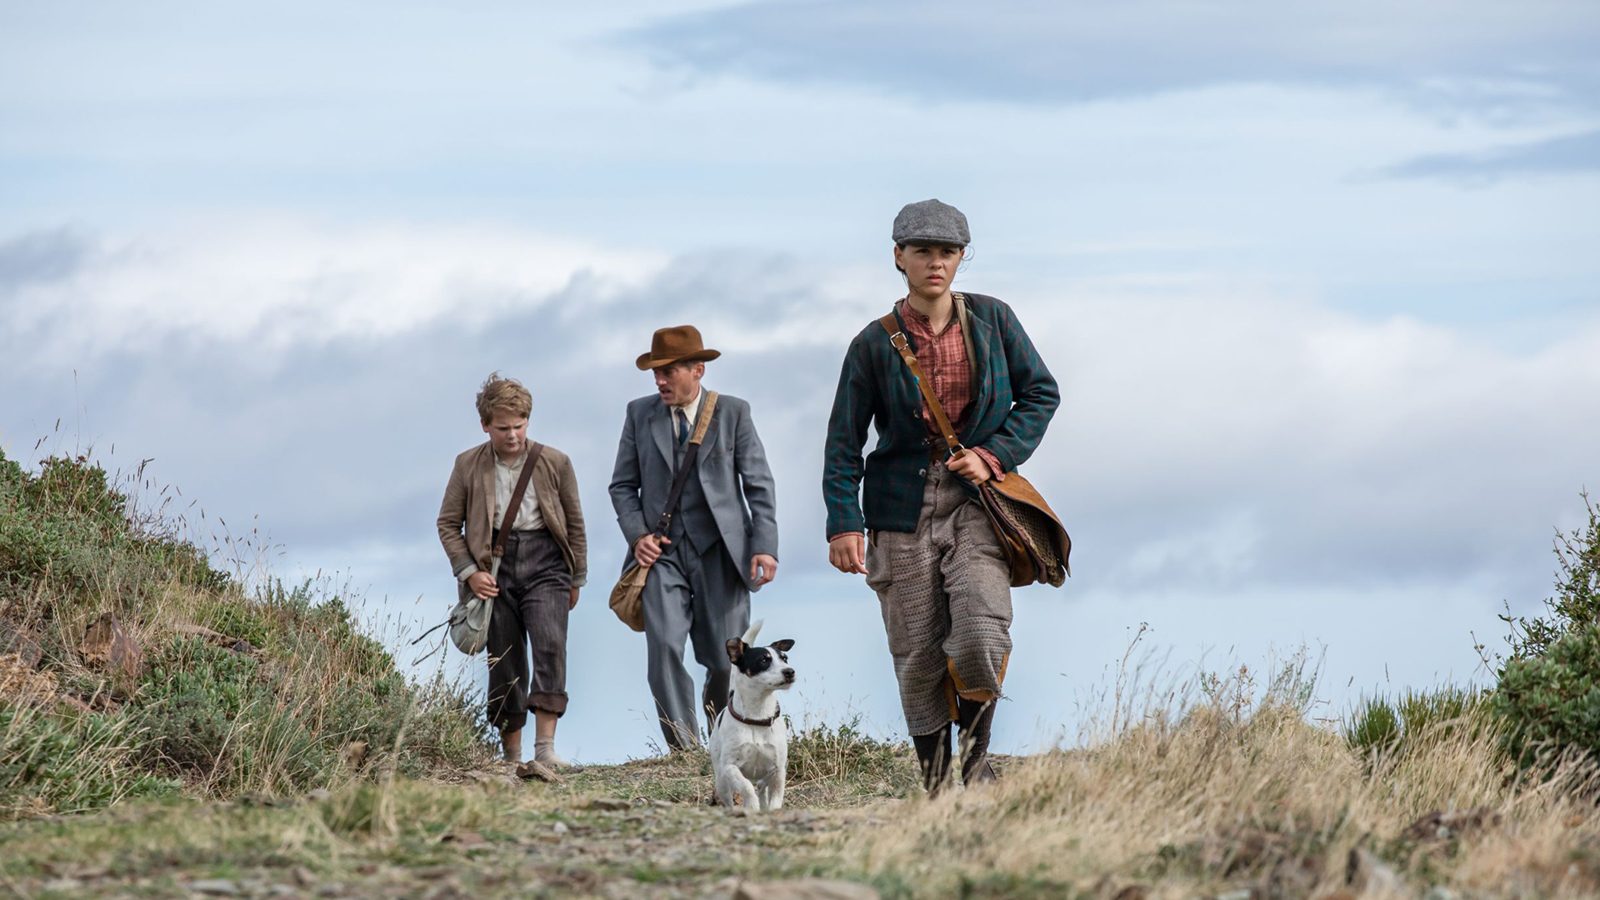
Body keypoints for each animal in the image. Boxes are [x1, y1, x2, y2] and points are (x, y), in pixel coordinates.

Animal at [710, 621, 796, 810]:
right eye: (763, 660)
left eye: (785, 659)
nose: (790, 671)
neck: (757, 716)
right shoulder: (730, 767)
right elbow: (746, 787)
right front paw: (752, 805)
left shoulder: (778, 770)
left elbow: (775, 797)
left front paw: (771, 809)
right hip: (721, 780)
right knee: (729, 798)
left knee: (762, 787)